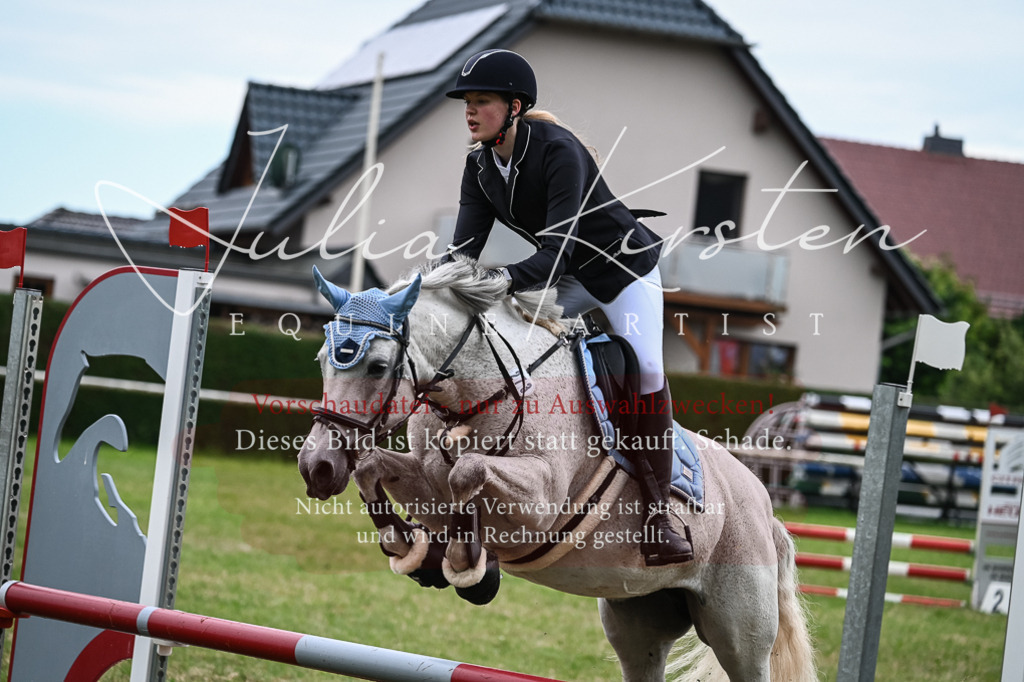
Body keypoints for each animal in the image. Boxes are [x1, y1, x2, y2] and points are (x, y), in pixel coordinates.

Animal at [298, 257, 816, 682]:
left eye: (376, 366)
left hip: (740, 632)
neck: (479, 394)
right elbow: (373, 468)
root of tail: (765, 510)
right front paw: (409, 547)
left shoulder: (539, 502)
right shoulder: (425, 483)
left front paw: (469, 565)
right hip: (640, 619)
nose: (316, 467)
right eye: (321, 360)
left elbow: (467, 471)